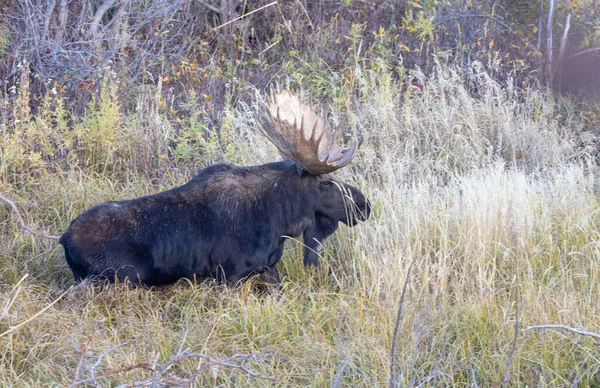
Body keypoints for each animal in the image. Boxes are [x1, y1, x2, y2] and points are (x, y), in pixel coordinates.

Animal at [61, 90, 370, 284]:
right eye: (327, 183)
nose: (365, 205)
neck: (281, 221)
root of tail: (63, 239)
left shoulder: (269, 268)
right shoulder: (229, 274)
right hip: (119, 277)